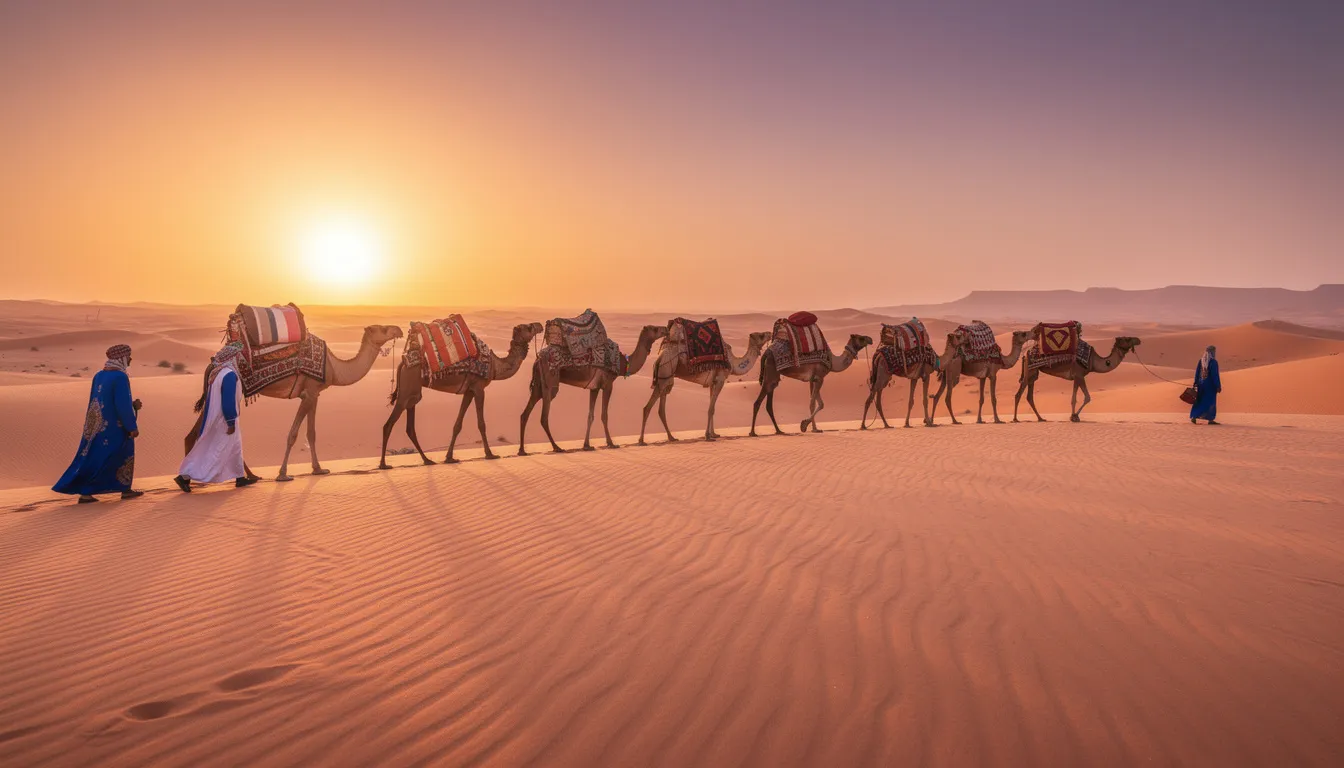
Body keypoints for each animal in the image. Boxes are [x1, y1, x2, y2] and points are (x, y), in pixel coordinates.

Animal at [379, 322, 544, 469]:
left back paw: (427, 460)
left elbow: (457, 425)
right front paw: (490, 454)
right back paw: (383, 464)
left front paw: (449, 457)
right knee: (388, 425)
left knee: (410, 427)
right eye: (529, 327)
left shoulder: (469, 391)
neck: (494, 366)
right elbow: (481, 423)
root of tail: (402, 363)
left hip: (413, 393)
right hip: (406, 391)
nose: (540, 325)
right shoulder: (479, 388)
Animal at [518, 324, 668, 454]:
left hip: (538, 385)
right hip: (550, 384)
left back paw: (522, 450)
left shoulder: (594, 387)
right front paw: (611, 443)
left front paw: (587, 445)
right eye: (655, 329)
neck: (622, 363)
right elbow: (604, 415)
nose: (666, 329)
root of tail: (537, 359)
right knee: (544, 417)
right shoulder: (608, 385)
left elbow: (590, 416)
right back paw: (557, 447)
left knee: (525, 413)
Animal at [639, 329, 772, 444]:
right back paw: (642, 441)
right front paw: (708, 436)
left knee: (661, 409)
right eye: (761, 335)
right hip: (664, 374)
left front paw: (714, 434)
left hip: (666, 379)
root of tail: (659, 358)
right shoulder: (720, 380)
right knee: (648, 407)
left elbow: (712, 408)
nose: (770, 333)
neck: (732, 362)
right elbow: (711, 409)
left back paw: (671, 437)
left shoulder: (713, 383)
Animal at [1013, 333, 1143, 423]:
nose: (1138, 340)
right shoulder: (1079, 375)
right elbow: (1087, 397)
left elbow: (1074, 398)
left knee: (1029, 396)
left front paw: (1073, 416)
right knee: (1018, 394)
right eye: (1127, 339)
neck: (1092, 360)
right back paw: (1015, 419)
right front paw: (1074, 417)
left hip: (1034, 373)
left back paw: (1040, 418)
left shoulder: (1076, 377)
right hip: (1029, 370)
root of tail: (1026, 353)